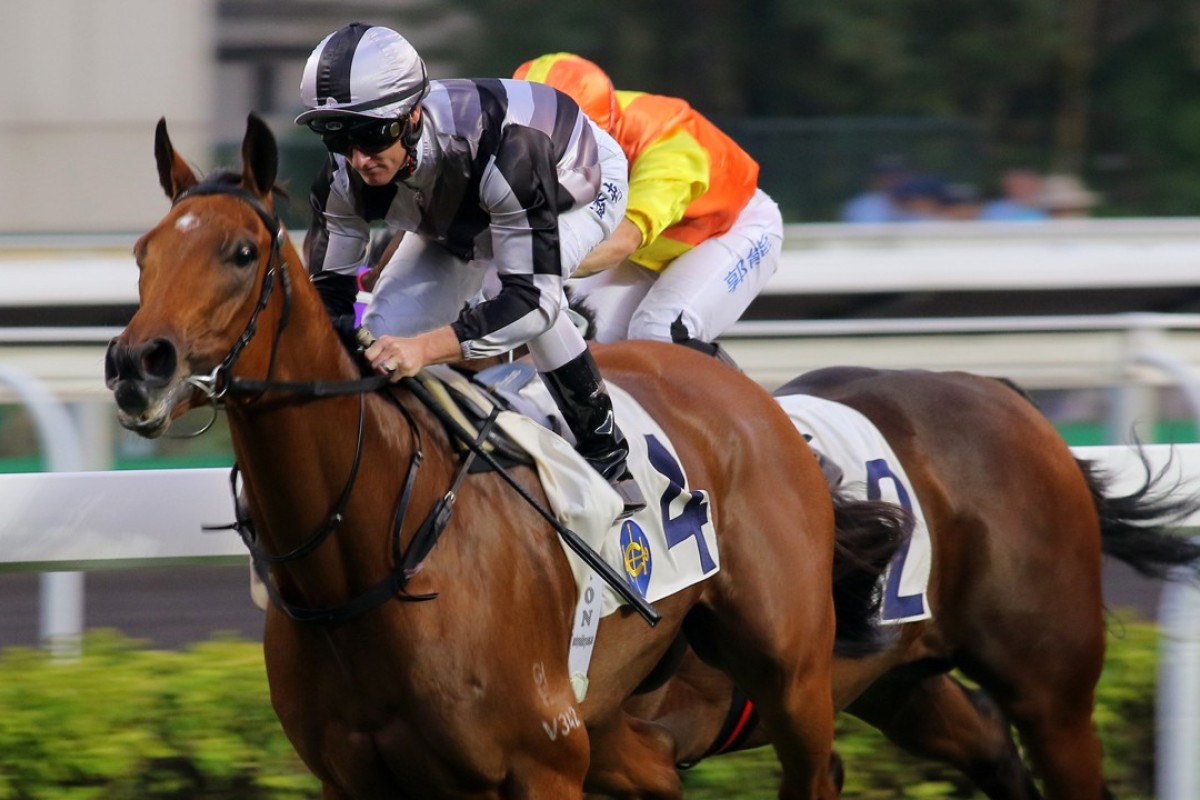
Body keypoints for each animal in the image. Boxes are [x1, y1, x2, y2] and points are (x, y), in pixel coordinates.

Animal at [103, 113, 897, 800]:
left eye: (242, 253)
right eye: (144, 253)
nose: (137, 364)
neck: (363, 558)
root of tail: (751, 396)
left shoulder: (542, 763)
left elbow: (530, 297)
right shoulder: (351, 779)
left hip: (791, 674)